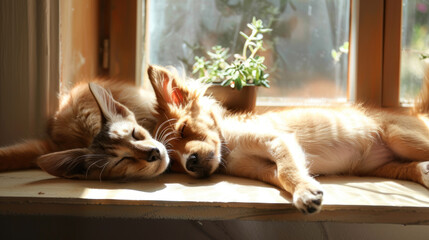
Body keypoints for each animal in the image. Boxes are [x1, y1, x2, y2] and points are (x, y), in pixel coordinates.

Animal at [147, 64, 429, 214]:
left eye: (184, 129)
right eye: (173, 163)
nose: (191, 162)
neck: (229, 147)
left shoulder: (277, 140)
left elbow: (289, 170)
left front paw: (304, 193)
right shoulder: (261, 168)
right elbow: (283, 175)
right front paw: (305, 189)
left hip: (402, 138)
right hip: (379, 165)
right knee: (406, 167)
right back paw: (424, 171)